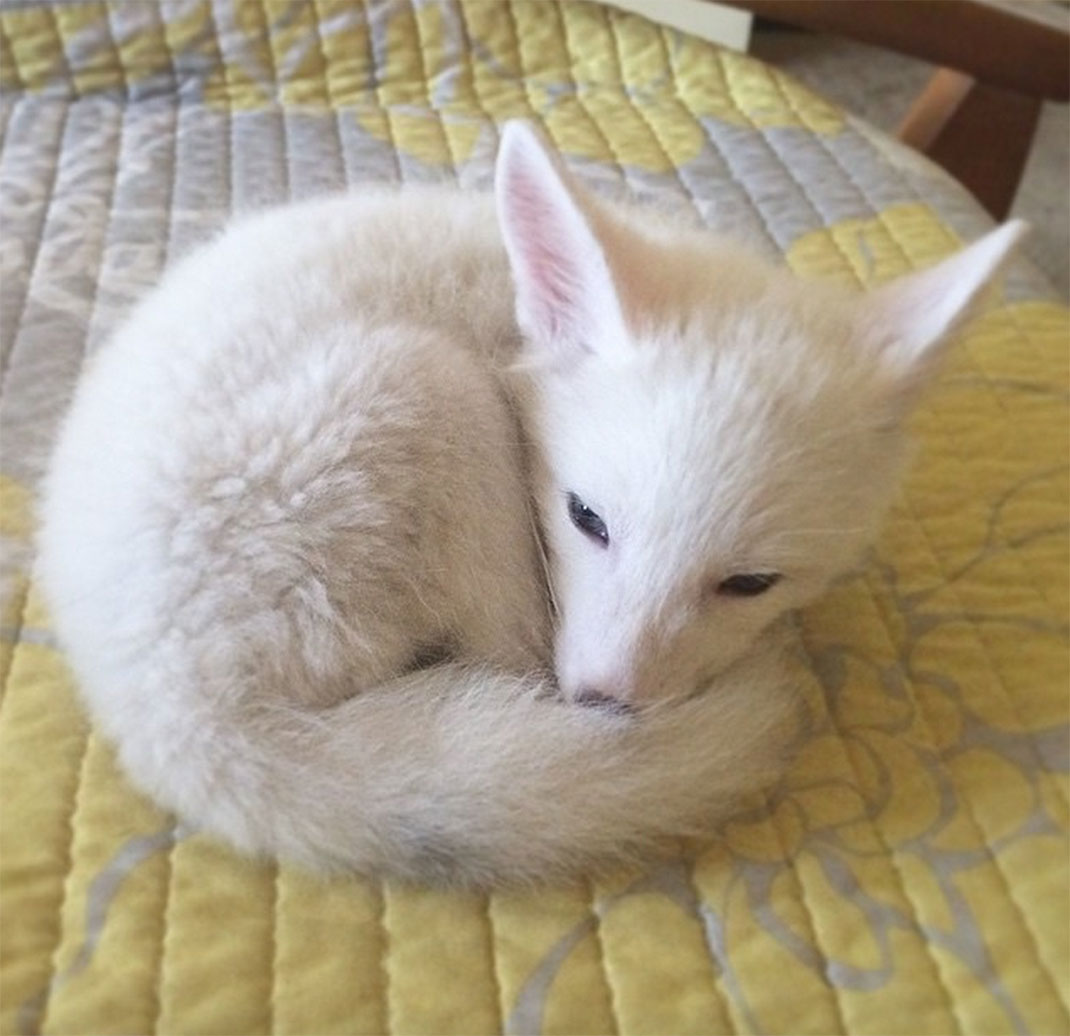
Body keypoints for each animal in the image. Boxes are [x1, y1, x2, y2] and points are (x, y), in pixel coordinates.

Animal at [37, 122, 1025, 887]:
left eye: (750, 582)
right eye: (587, 519)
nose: (607, 702)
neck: (517, 318)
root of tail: (177, 712)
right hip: (435, 395)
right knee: (503, 652)